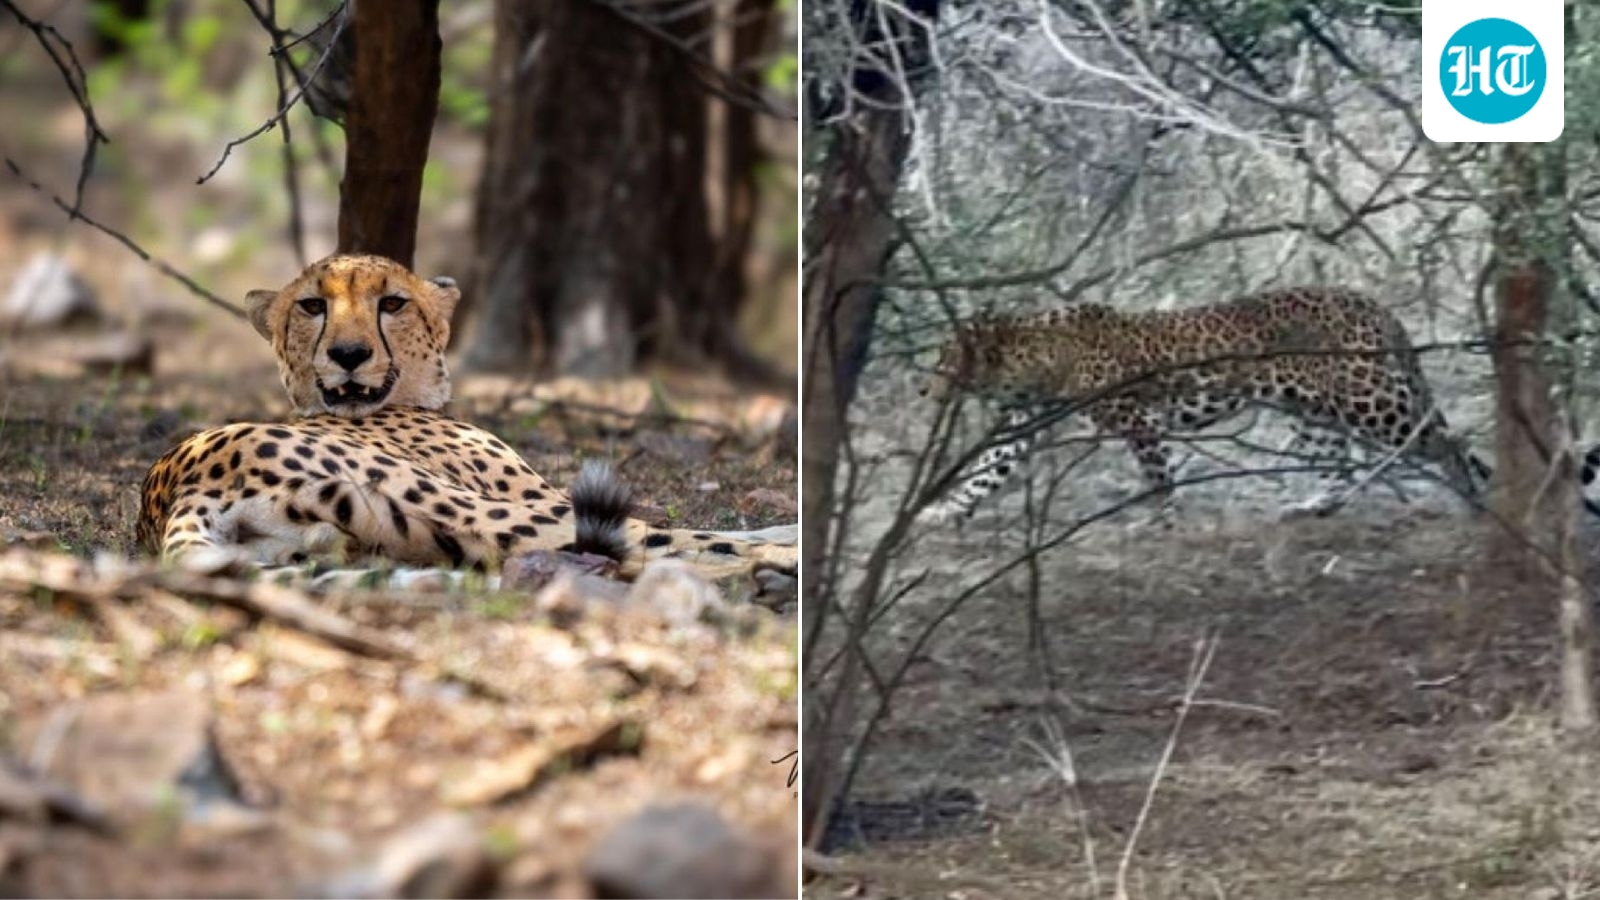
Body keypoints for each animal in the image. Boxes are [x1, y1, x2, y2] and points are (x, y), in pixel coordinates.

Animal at [137, 254, 796, 583]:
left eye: (393, 303)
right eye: (312, 306)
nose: (348, 354)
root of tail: (176, 485)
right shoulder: (542, 497)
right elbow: (698, 530)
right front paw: (780, 538)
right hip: (481, 509)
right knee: (660, 544)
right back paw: (778, 567)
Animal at [916, 287, 1499, 523]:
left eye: (944, 359)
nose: (924, 390)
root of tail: (1373, 303)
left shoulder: (1137, 418)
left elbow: (1157, 474)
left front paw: (1162, 519)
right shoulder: (1025, 420)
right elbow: (988, 468)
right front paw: (943, 510)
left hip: (1368, 397)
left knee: (1442, 439)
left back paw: (1473, 501)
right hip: (1314, 408)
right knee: (1337, 460)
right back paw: (1315, 505)